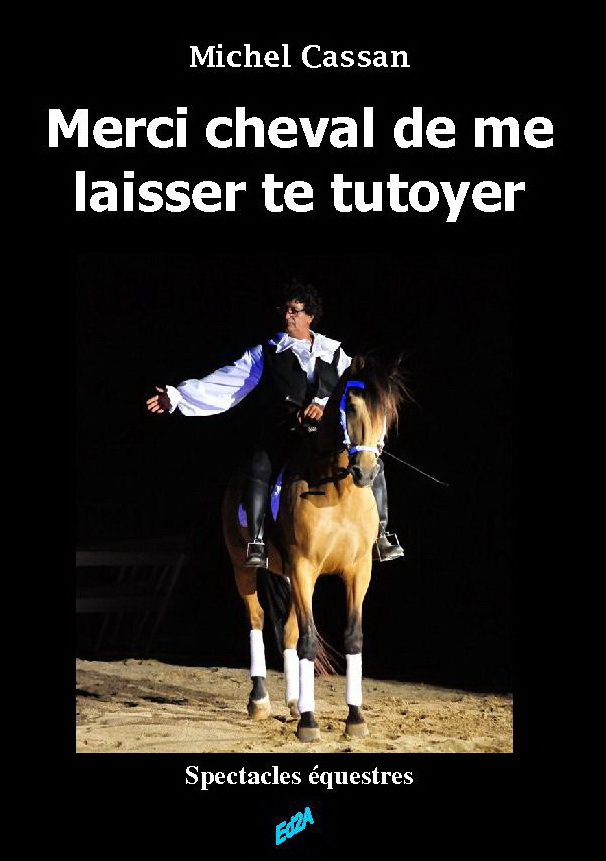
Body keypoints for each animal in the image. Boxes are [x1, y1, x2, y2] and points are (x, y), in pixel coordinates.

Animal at [221, 353, 408, 742]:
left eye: (389, 411)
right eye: (351, 406)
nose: (365, 472)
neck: (339, 491)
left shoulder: (357, 571)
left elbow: (352, 638)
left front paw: (355, 718)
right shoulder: (304, 567)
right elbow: (308, 640)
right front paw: (309, 723)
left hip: (289, 578)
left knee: (288, 630)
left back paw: (294, 702)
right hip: (243, 567)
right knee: (257, 619)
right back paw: (260, 701)